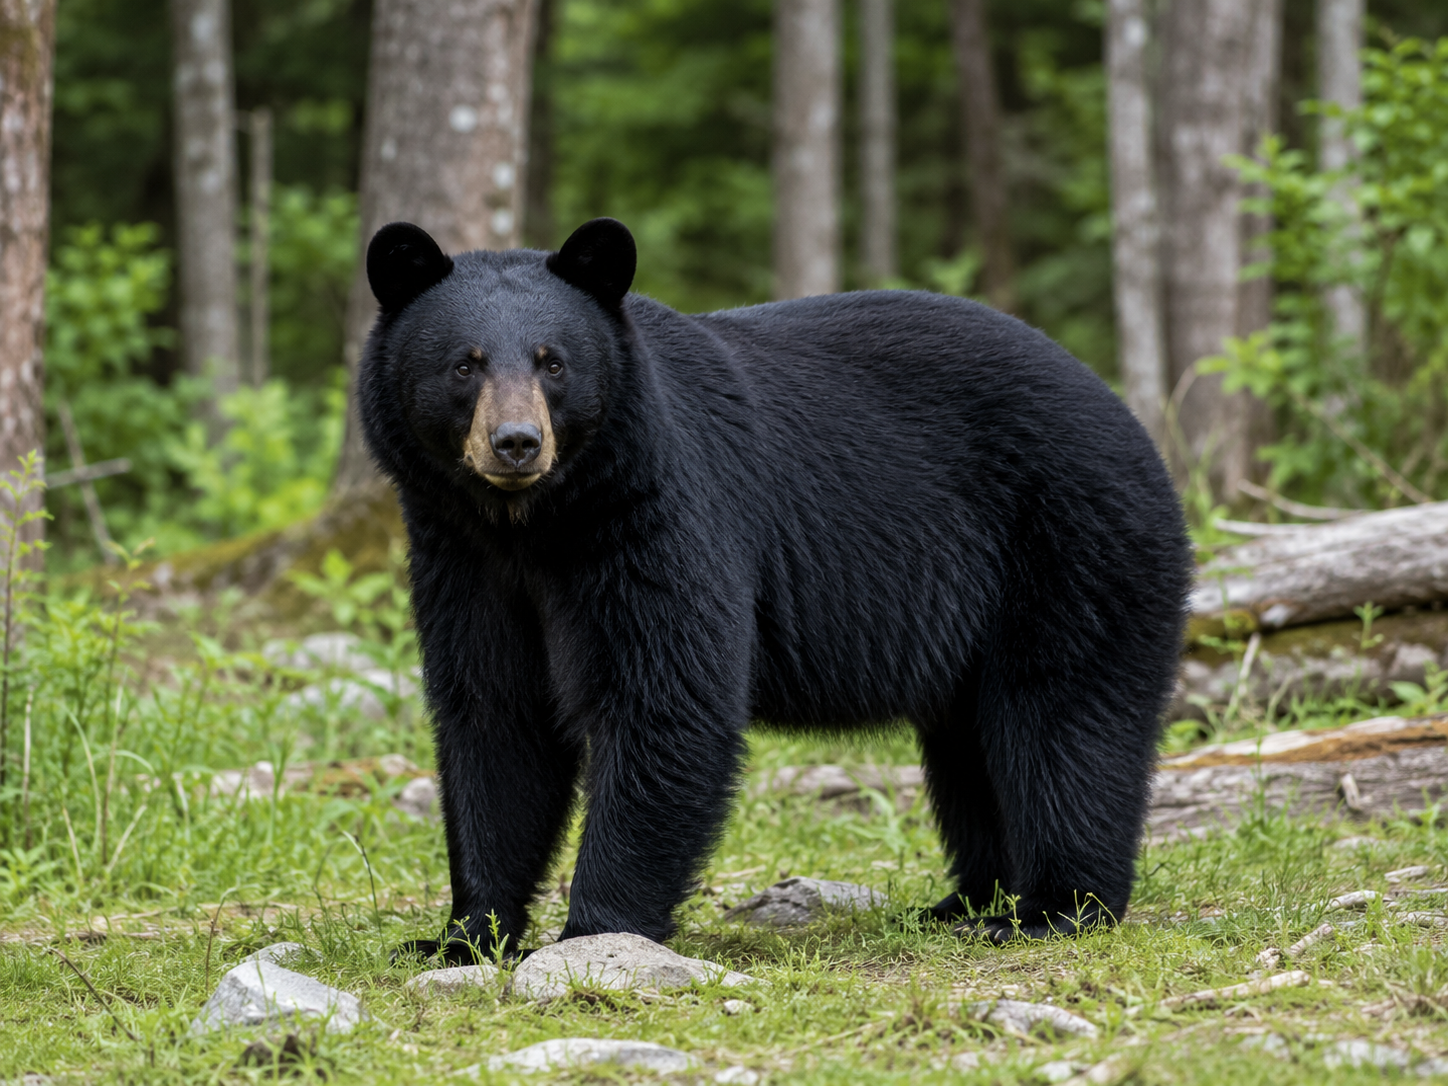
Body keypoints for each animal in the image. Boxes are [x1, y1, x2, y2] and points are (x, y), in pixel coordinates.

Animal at [358, 217, 1192, 960]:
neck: (535, 526)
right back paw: (965, 901)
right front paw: (461, 936)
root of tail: (1130, 422)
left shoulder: (659, 517)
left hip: (1070, 545)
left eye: (552, 362)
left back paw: (1054, 908)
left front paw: (595, 932)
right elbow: (495, 717)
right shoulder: (462, 560)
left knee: (1063, 720)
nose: (517, 443)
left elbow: (666, 698)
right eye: (464, 364)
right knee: (970, 742)